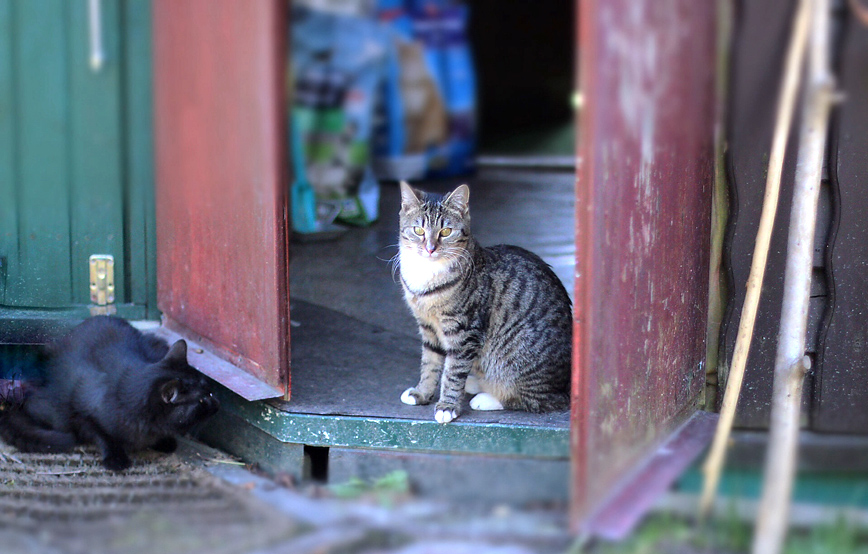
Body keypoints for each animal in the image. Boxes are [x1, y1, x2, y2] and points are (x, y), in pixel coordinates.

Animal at [0, 316, 217, 468]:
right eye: (202, 400)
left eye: (210, 391)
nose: (218, 403)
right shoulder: (82, 414)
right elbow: (102, 435)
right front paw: (116, 459)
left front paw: (163, 441)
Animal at [396, 181, 572, 422]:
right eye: (419, 230)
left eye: (446, 232)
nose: (430, 248)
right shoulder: (428, 327)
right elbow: (430, 363)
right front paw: (422, 392)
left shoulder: (464, 332)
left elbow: (453, 372)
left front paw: (447, 406)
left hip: (515, 359)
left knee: (539, 400)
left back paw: (488, 397)